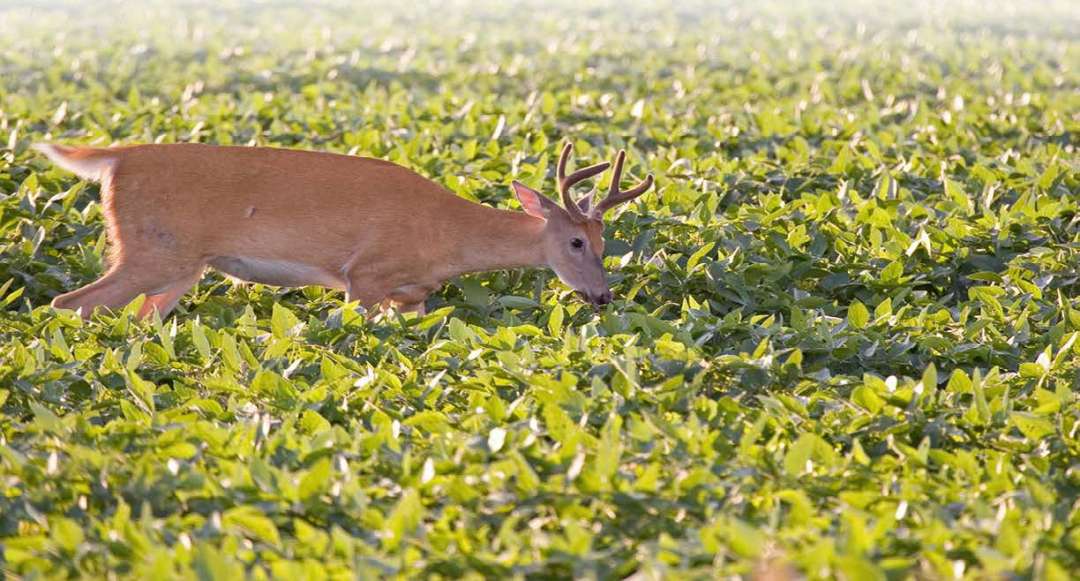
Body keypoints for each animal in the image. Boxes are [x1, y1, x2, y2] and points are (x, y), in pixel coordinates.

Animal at [34, 141, 654, 319]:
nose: (602, 297)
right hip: (151, 252)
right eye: (576, 241)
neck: (447, 236)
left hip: (182, 265)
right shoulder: (366, 276)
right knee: (70, 302)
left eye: (607, 243)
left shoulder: (412, 294)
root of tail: (115, 158)